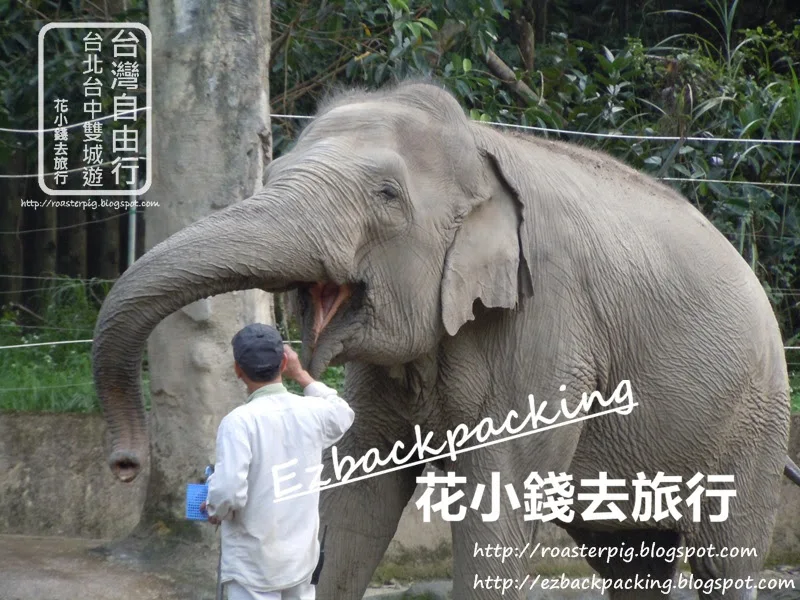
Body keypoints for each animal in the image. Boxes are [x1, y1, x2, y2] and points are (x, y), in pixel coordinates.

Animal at [92, 81, 792, 600]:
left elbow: (497, 508)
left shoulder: (547, 322)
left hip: (756, 417)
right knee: (631, 557)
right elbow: (355, 493)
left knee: (724, 560)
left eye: (386, 194)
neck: (482, 148)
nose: (124, 463)